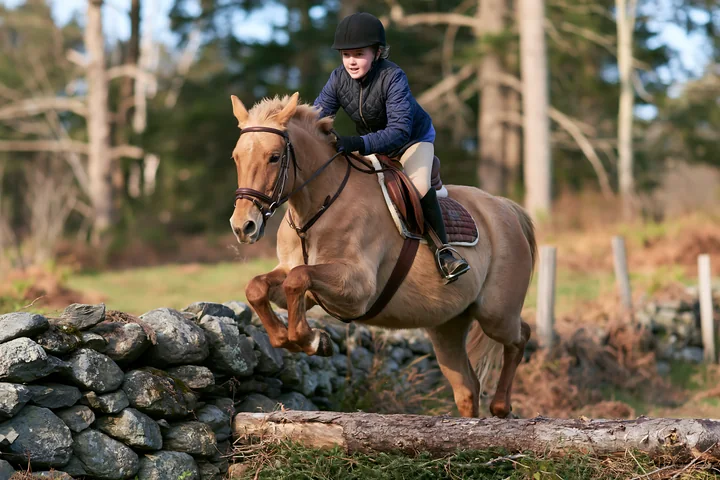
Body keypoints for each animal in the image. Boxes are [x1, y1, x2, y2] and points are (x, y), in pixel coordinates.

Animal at [228, 92, 537, 418]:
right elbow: (260, 287)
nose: (243, 227)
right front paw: (294, 338)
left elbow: (297, 279)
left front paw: (313, 340)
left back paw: (501, 406)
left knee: (520, 336)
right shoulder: (296, 277)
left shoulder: (357, 290)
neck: (319, 206)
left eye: (274, 157)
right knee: (467, 387)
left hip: (495, 314)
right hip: (447, 325)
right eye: (236, 157)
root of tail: (506, 207)